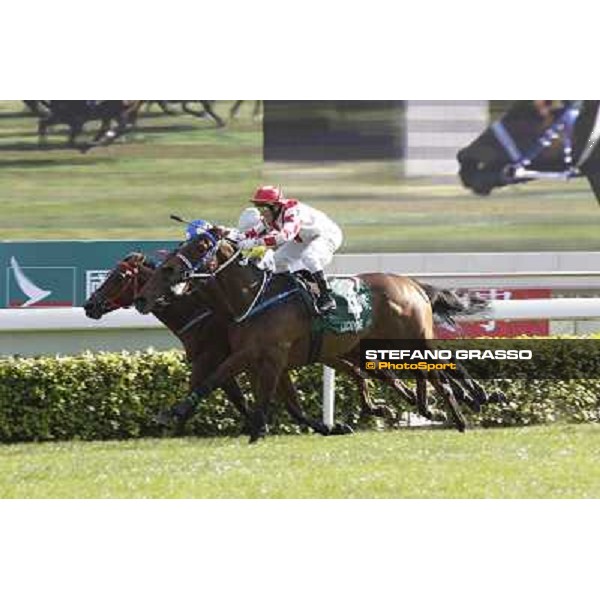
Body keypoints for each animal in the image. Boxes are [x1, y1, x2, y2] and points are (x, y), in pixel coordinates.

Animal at [134, 230, 486, 440]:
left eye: (200, 246)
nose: (142, 298)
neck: (253, 297)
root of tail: (412, 284)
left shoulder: (272, 354)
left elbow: (266, 396)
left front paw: (258, 431)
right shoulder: (250, 354)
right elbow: (214, 379)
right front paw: (173, 413)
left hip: (411, 340)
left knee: (438, 372)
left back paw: (461, 411)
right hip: (379, 346)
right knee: (421, 373)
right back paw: (443, 405)